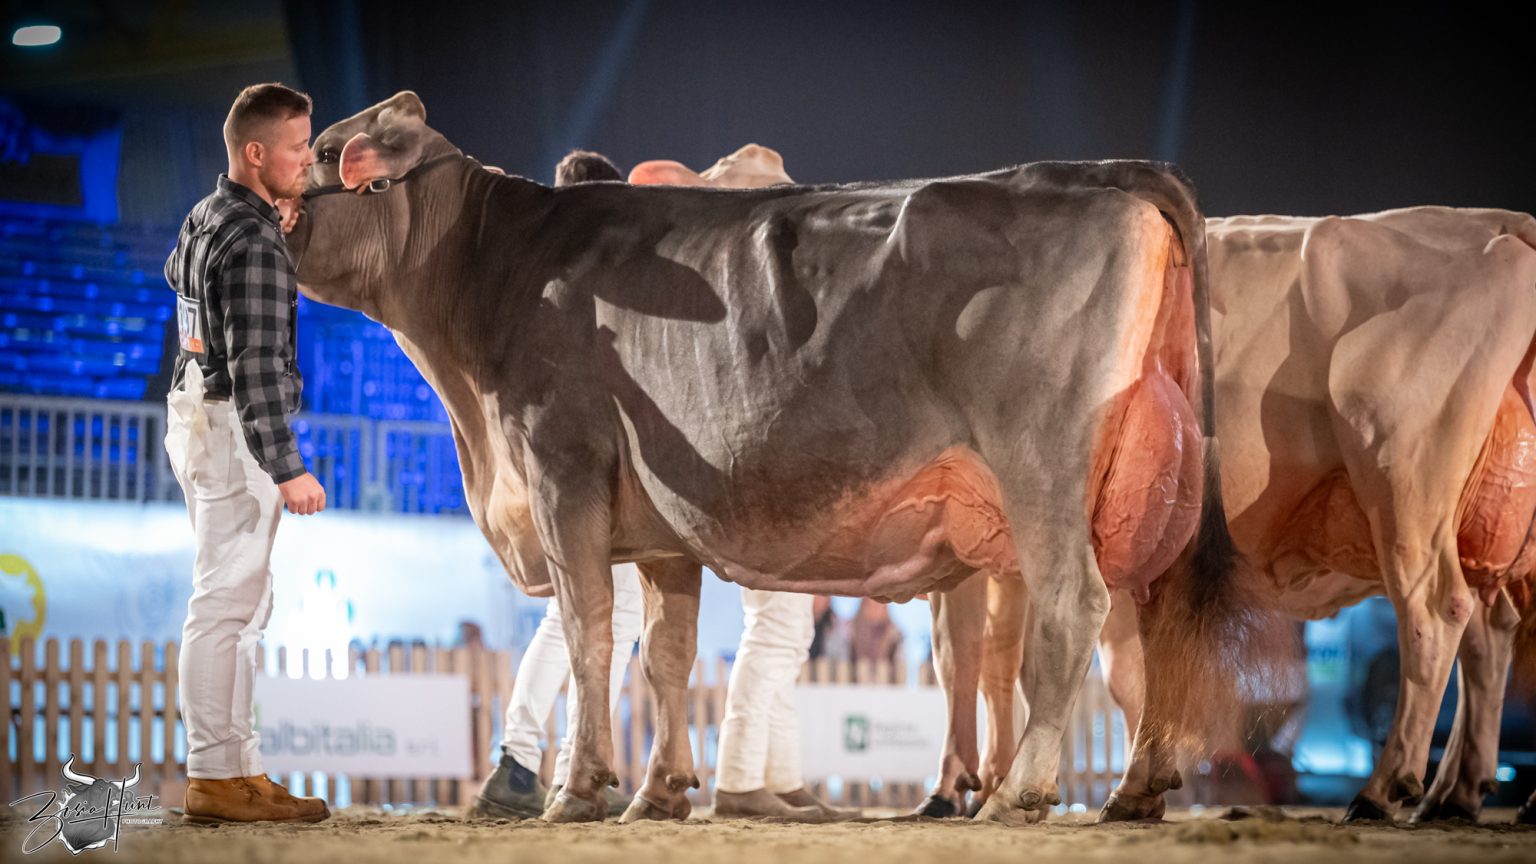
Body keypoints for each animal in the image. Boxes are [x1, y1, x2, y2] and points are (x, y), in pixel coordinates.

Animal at [287, 91, 1260, 824]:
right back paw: (1133, 790)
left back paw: (1018, 792)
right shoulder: (662, 529)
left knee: (1072, 611)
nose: (252, 210)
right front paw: (659, 791)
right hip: (1142, 480)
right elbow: (667, 655)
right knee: (1152, 625)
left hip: (1044, 471)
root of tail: (1094, 169)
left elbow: (589, 632)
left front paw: (579, 790)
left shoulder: (561, 473)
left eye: (322, 152)